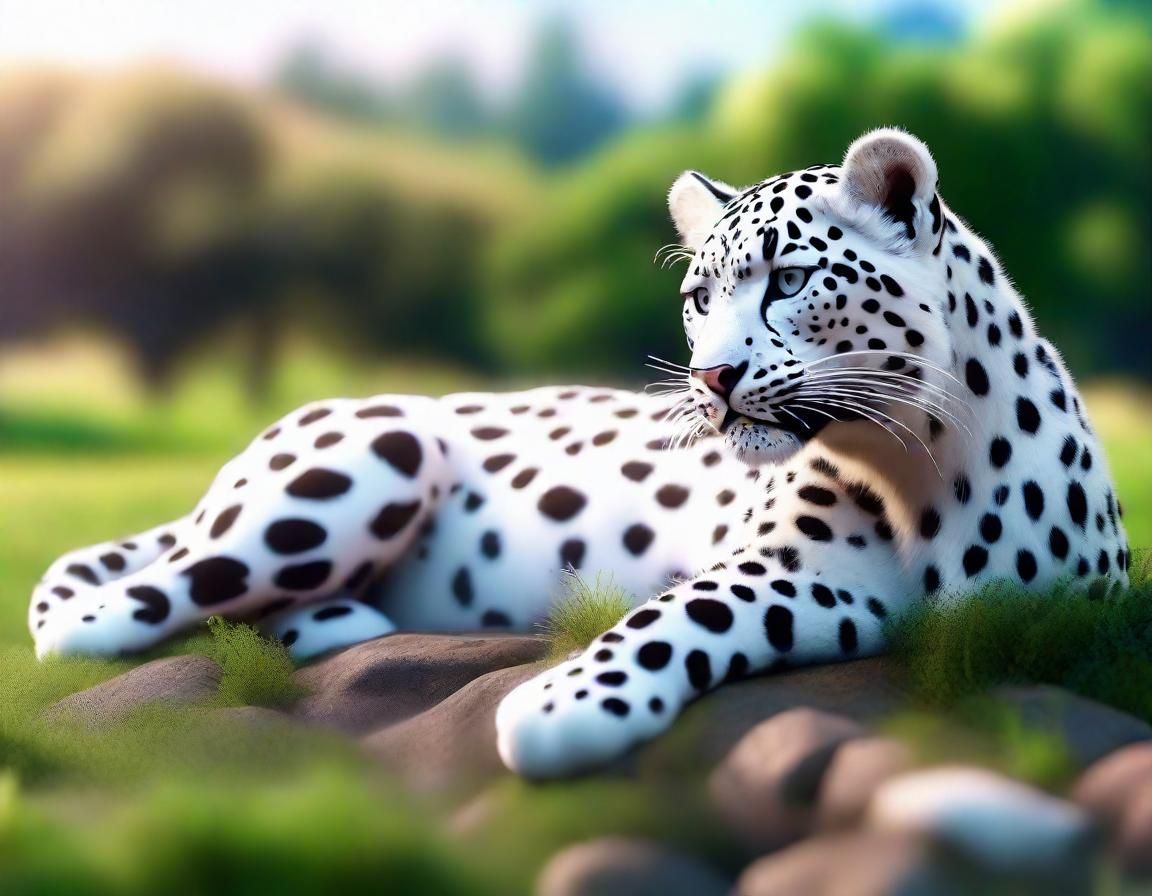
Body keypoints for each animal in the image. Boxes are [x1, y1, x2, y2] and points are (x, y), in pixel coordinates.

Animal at [28, 129, 1129, 778]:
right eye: (698, 297)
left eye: (789, 281)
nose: (713, 377)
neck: (914, 467)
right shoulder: (782, 559)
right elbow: (679, 613)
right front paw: (561, 704)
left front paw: (557, 702)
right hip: (370, 454)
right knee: (108, 609)